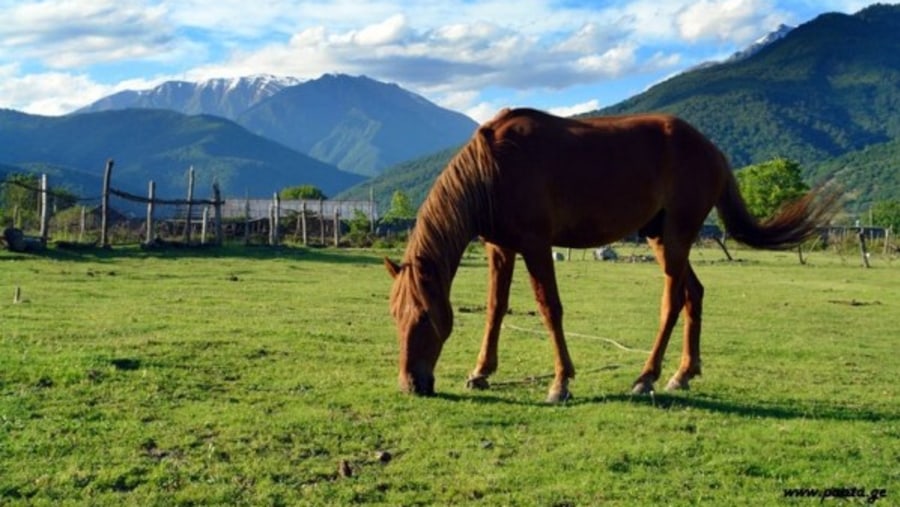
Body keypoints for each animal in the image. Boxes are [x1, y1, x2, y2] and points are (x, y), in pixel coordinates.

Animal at [382, 108, 836, 404]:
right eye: (395, 317)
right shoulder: (501, 248)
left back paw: (646, 377)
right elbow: (496, 308)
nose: (410, 384)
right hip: (660, 236)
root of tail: (714, 152)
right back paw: (682, 374)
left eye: (424, 317)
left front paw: (561, 383)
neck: (492, 169)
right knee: (695, 294)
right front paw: (480, 373)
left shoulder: (536, 244)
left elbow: (550, 308)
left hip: (676, 236)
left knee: (673, 300)